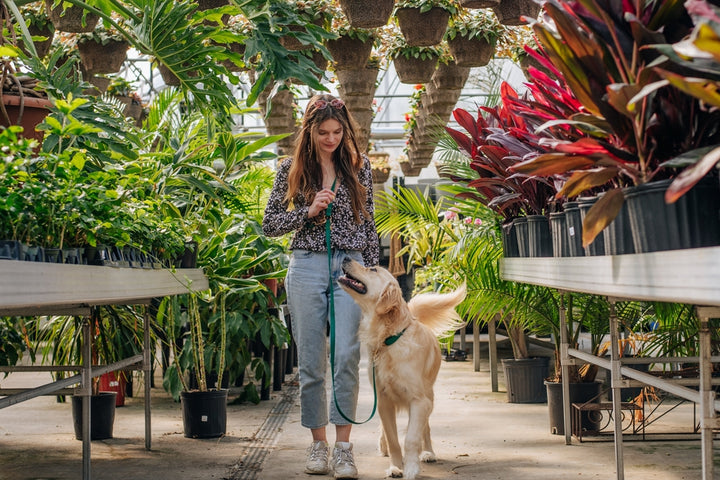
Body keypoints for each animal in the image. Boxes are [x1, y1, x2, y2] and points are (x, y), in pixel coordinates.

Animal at [338, 258, 466, 480]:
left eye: (373, 269)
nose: (345, 258)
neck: (389, 339)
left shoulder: (419, 401)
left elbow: (412, 438)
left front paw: (412, 468)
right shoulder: (383, 401)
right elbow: (393, 438)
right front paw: (396, 466)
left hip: (429, 396)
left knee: (426, 428)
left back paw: (428, 452)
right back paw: (383, 447)